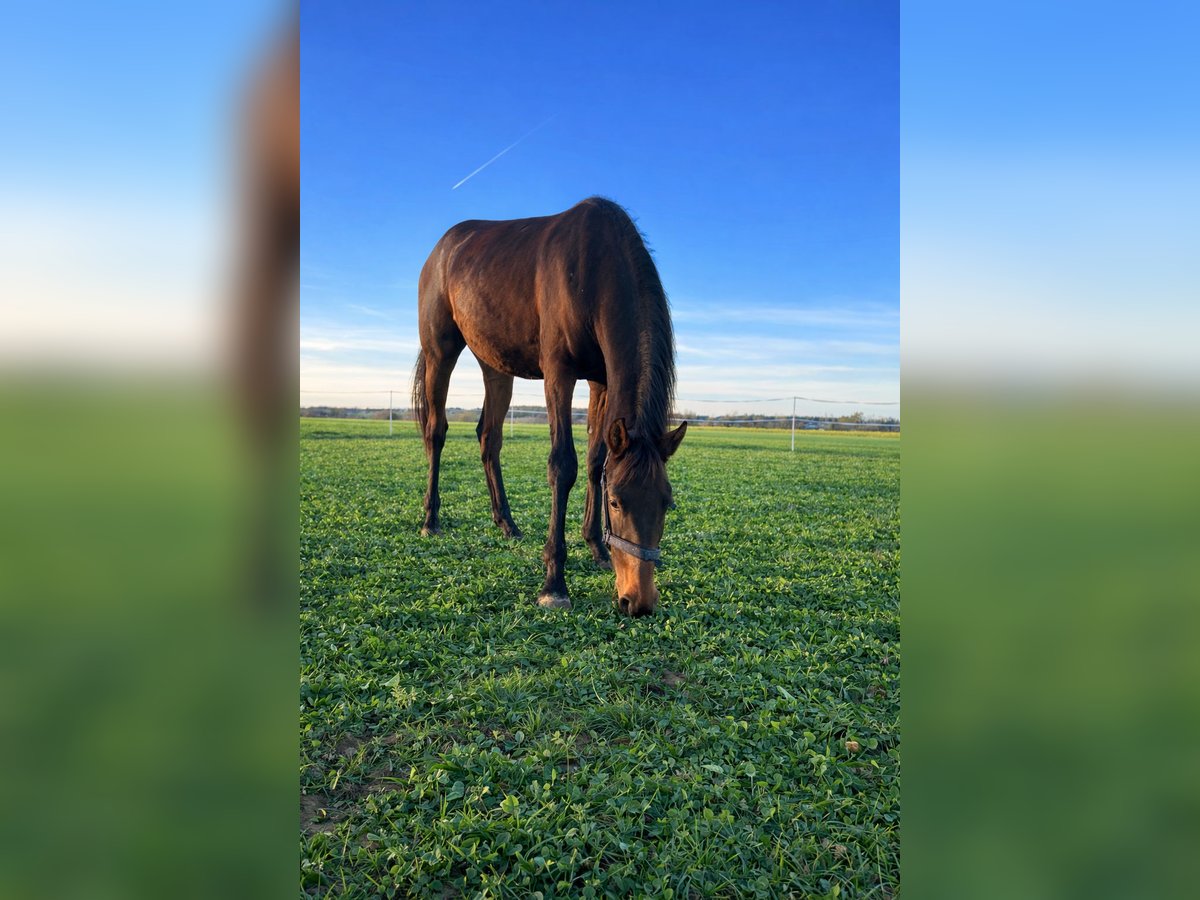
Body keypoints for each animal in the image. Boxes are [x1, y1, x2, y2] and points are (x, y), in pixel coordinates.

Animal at [411, 197, 687, 616]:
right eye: (616, 502)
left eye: (666, 503)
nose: (638, 600)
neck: (593, 266)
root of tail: (440, 250)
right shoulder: (559, 373)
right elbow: (563, 465)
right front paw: (554, 582)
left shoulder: (600, 381)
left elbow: (596, 460)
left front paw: (596, 547)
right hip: (439, 352)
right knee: (436, 432)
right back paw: (431, 519)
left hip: (495, 366)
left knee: (489, 438)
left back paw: (506, 523)